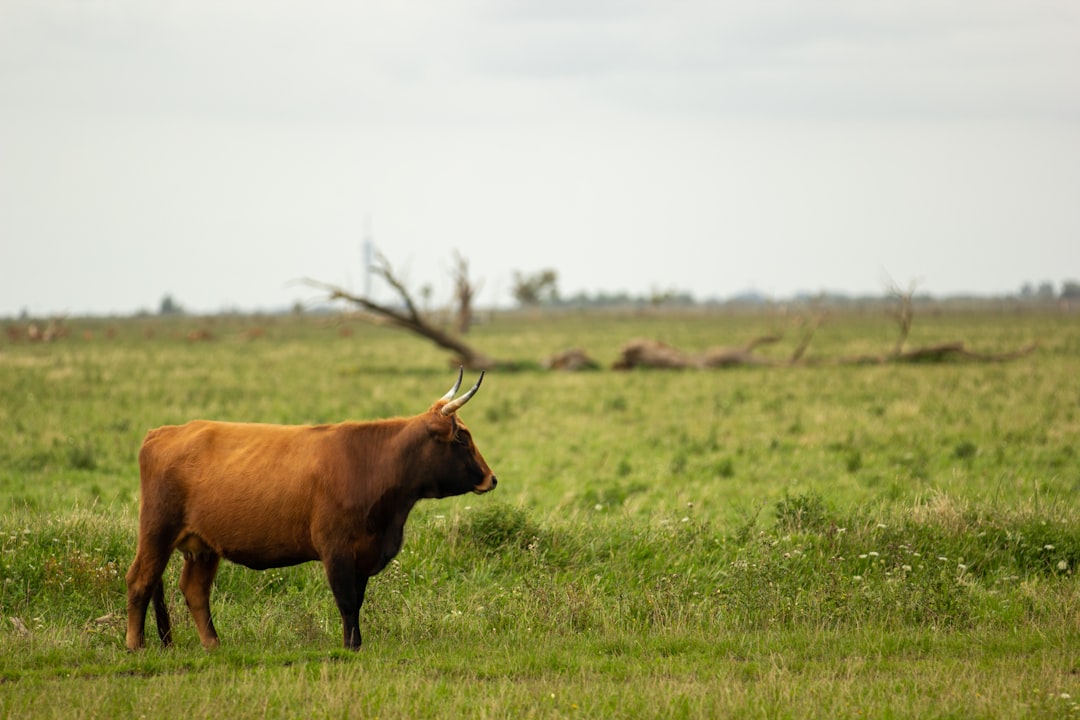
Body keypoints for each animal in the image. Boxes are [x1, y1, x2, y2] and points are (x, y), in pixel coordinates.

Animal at [124, 371, 494, 651]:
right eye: (461, 437)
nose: (491, 478)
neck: (373, 463)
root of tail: (163, 432)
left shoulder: (362, 553)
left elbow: (357, 600)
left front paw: (355, 643)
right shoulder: (337, 550)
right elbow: (347, 601)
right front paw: (351, 647)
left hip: (203, 546)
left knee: (195, 590)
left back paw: (214, 644)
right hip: (157, 531)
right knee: (141, 579)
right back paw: (135, 645)